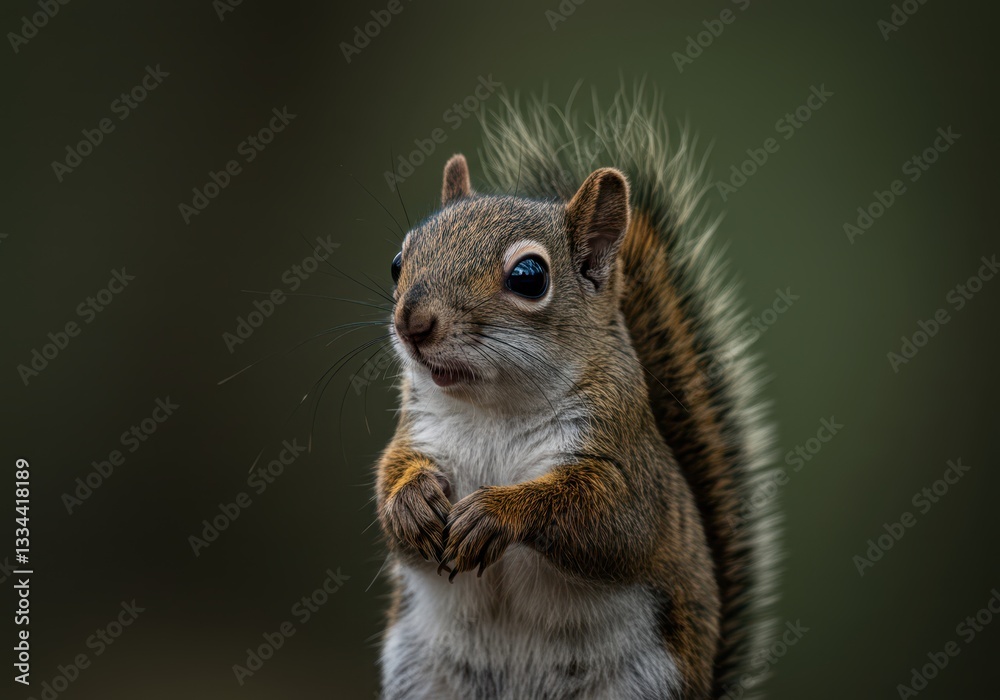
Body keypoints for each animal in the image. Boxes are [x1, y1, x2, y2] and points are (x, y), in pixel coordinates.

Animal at [374, 90, 778, 700]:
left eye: (529, 275)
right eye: (399, 262)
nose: (411, 323)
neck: (493, 409)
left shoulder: (625, 463)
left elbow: (609, 520)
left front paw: (495, 513)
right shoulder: (417, 432)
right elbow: (389, 486)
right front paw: (411, 500)